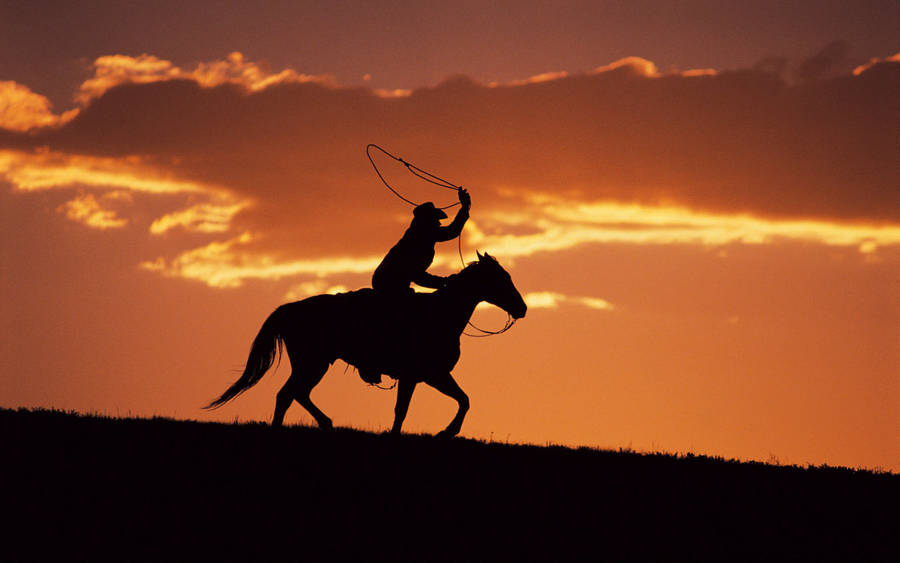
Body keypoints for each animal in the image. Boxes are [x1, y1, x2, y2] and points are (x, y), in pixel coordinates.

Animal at [205, 252, 527, 437]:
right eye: (501, 279)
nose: (522, 308)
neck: (440, 314)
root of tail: (291, 308)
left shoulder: (429, 376)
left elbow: (462, 399)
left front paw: (444, 432)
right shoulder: (423, 375)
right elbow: (410, 409)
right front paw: (443, 432)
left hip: (314, 364)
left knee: (297, 394)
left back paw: (325, 423)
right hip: (312, 363)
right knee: (288, 394)